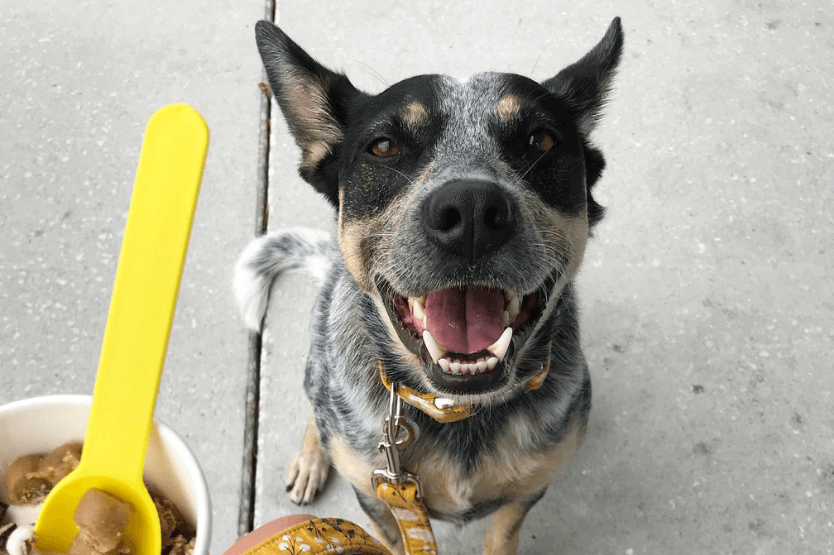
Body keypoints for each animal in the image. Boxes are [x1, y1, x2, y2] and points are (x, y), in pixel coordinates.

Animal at [231, 18, 620, 555]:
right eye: (384, 146)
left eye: (541, 140)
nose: (472, 211)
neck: (459, 410)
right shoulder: (378, 496)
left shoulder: (528, 491)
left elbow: (503, 534)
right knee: (316, 411)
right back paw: (311, 458)